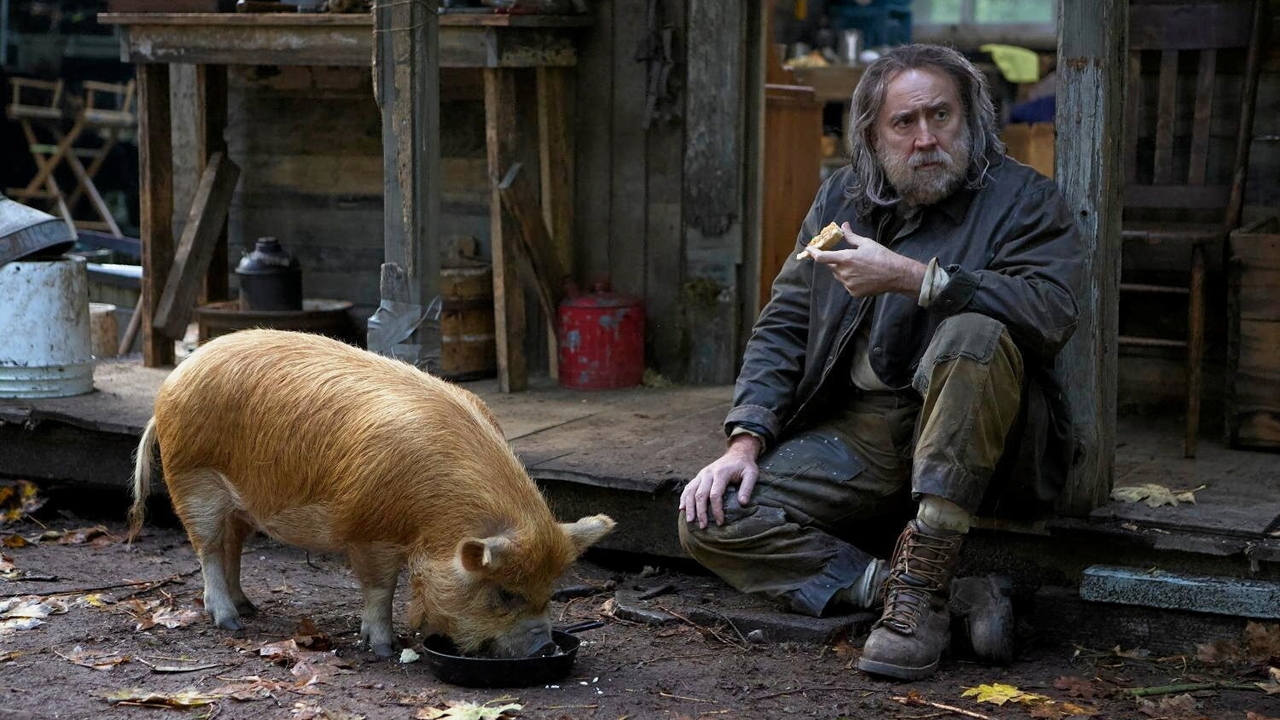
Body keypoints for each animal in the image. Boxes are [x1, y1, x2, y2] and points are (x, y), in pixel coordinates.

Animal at [127, 329, 614, 658]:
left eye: (549, 590)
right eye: (506, 594)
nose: (543, 648)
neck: (434, 517)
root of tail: (171, 383)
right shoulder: (368, 531)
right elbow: (381, 588)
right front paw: (384, 647)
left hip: (240, 504)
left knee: (233, 547)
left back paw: (249, 609)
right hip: (193, 479)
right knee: (208, 548)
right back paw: (230, 623)